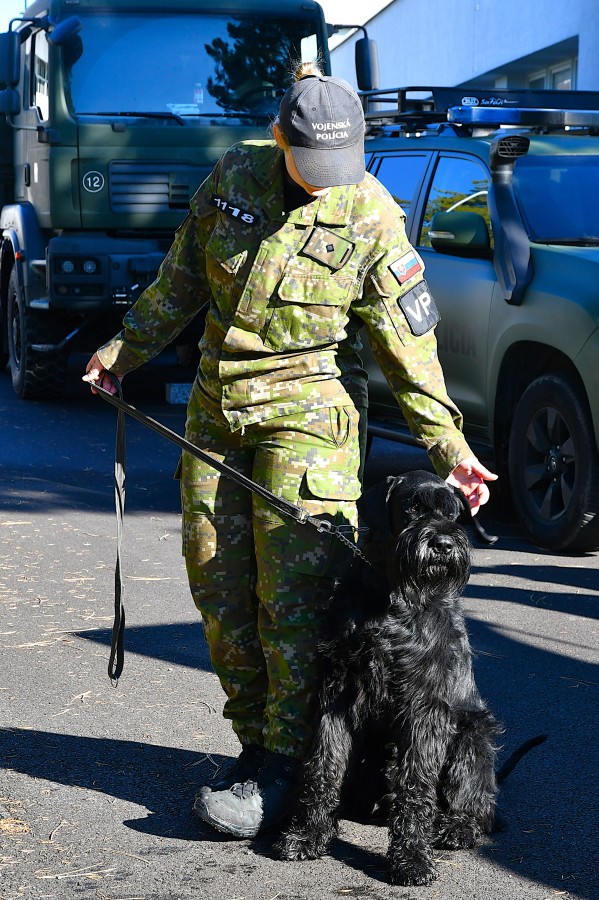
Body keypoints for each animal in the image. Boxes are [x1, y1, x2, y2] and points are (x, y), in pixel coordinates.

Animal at [275, 470, 527, 885]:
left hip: (473, 738)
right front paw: (308, 834)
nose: (443, 544)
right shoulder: (338, 693)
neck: (395, 596)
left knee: (479, 808)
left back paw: (456, 827)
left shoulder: (425, 706)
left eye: (453, 513)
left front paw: (411, 858)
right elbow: (324, 763)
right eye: (412, 506)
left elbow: (416, 784)